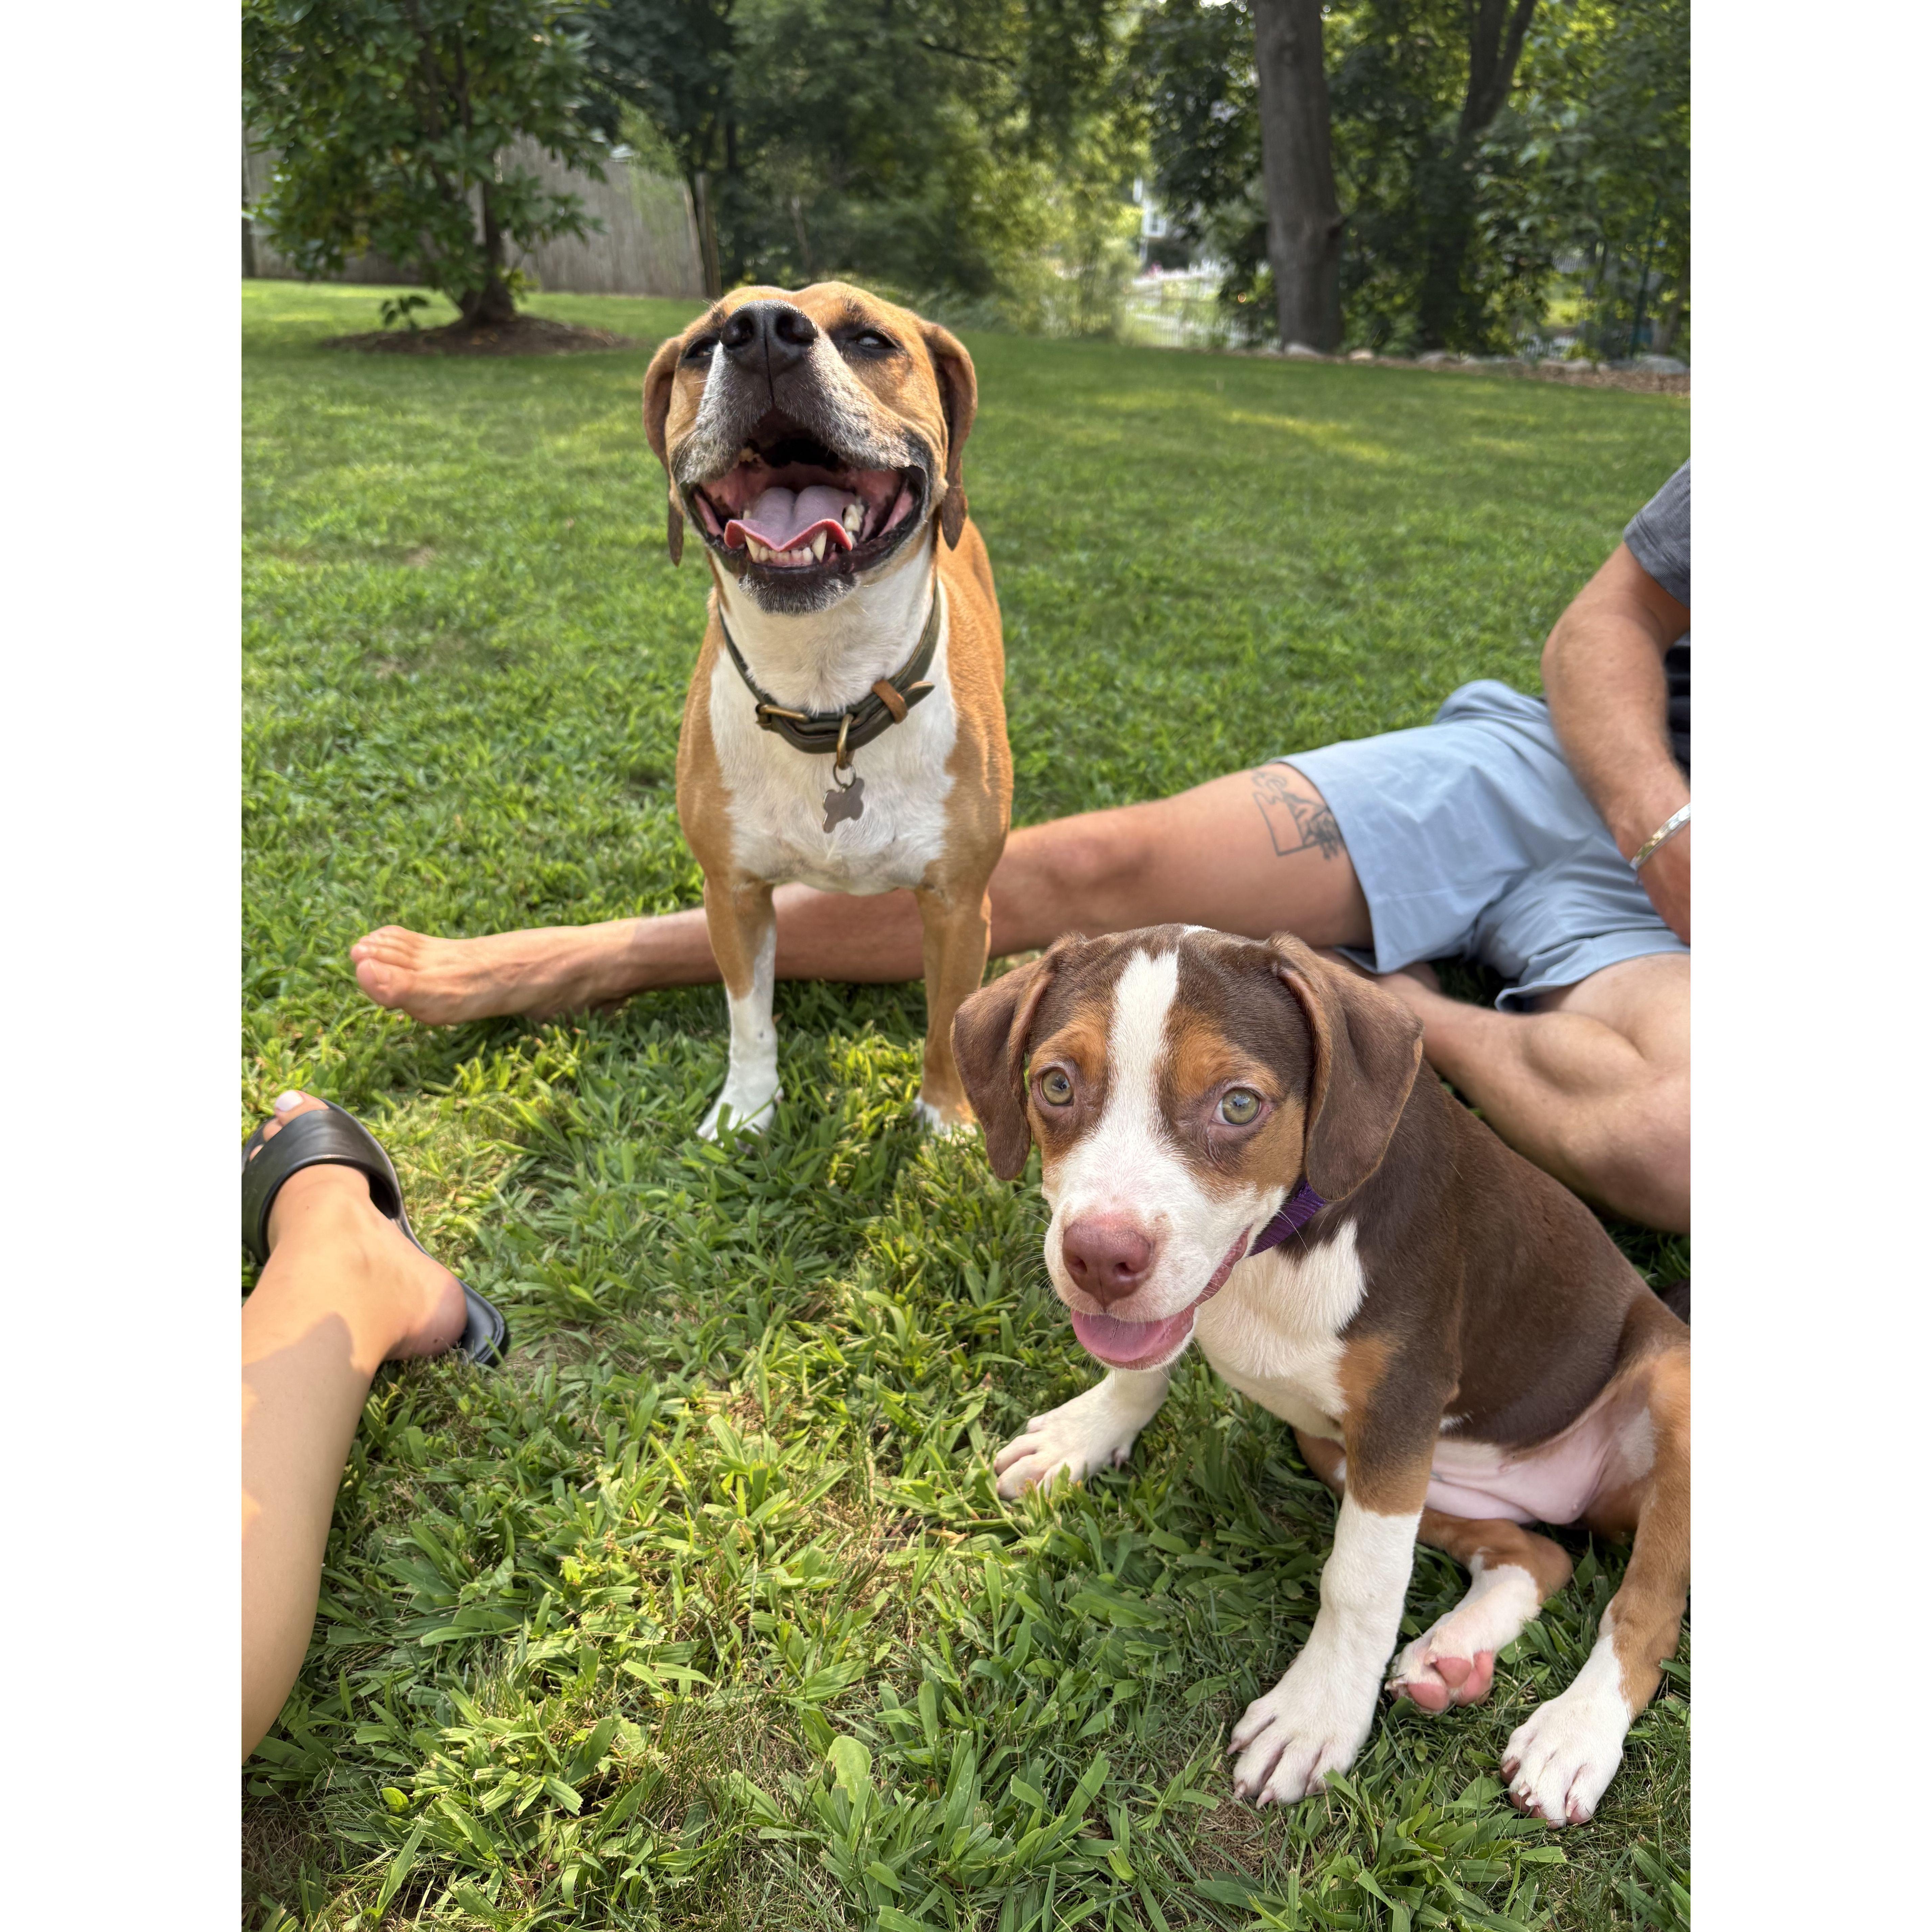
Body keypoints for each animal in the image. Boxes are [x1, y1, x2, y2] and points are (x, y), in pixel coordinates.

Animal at [643, 284, 1011, 1138]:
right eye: (702, 346)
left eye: (872, 338)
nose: (762, 334)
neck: (828, 694)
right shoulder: (733, 892)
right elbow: (749, 1015)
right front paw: (746, 1111)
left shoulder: (961, 906)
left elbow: (948, 1021)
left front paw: (947, 1120)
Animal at [953, 926, 1689, 1827]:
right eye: (1055, 1085)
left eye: (1240, 1105)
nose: (1099, 1257)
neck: (1277, 1250)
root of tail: (1569, 1496)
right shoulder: (1364, 1441)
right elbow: (1142, 1369)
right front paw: (1084, 1434)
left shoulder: (1400, 1408)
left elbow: (1360, 1581)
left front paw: (1315, 1716)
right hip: (1339, 1451)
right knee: (1538, 1556)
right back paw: (1456, 1653)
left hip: (1670, 1386)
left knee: (1644, 1610)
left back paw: (1573, 1734)